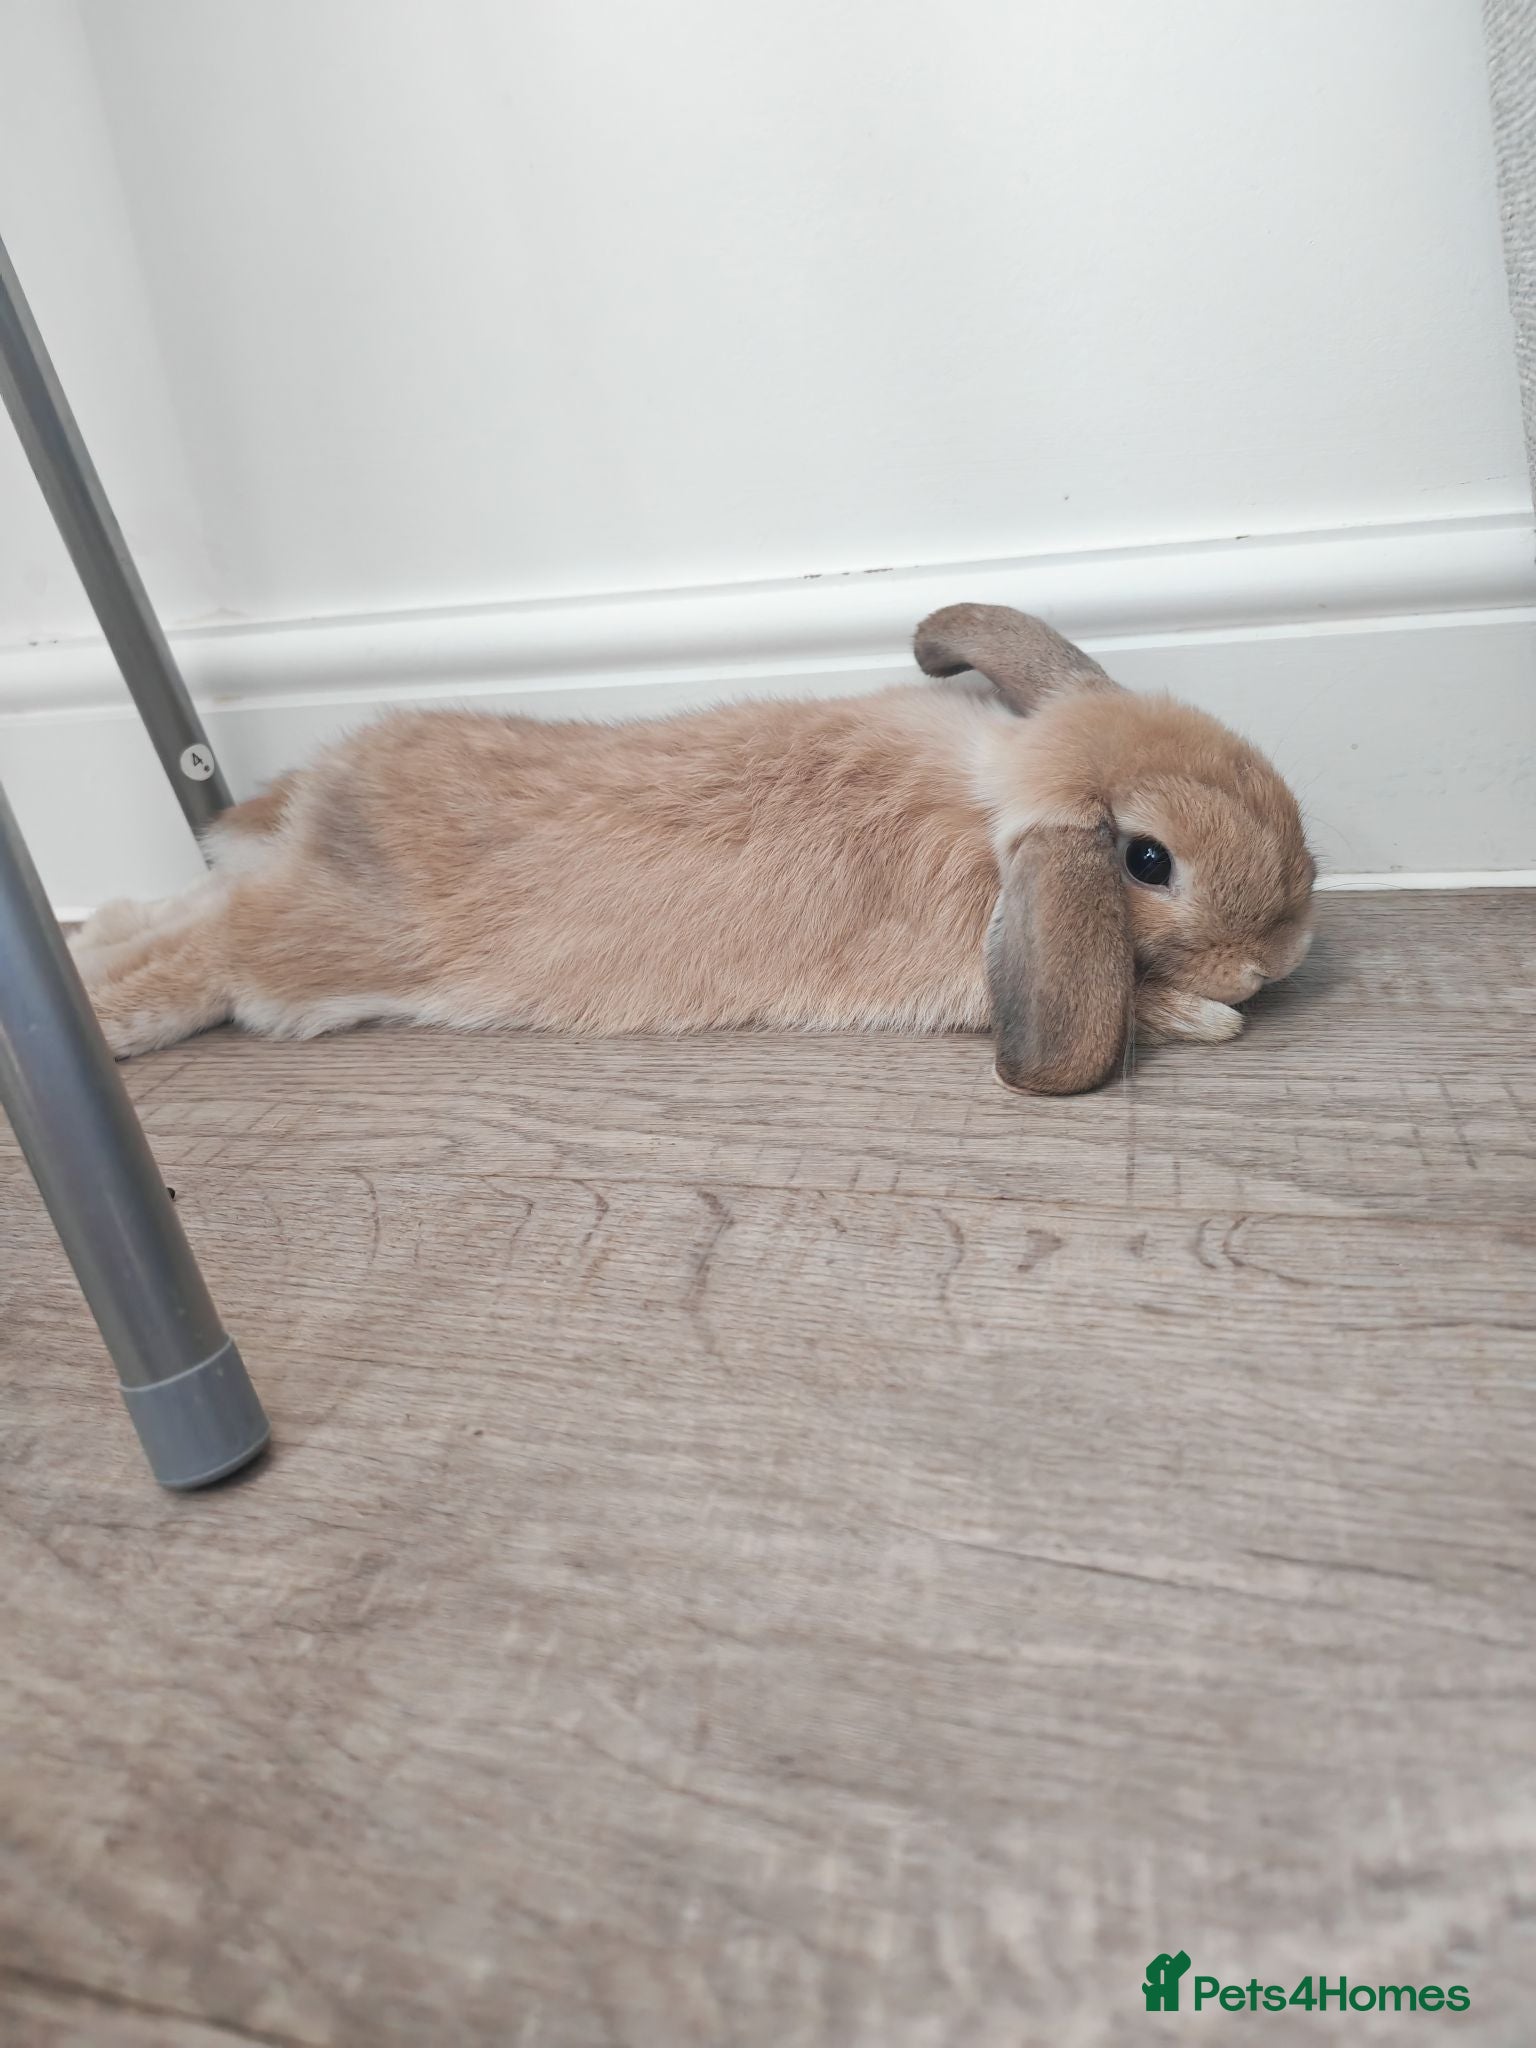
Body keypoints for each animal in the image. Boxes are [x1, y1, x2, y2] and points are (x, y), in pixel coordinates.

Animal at [69, 604, 1315, 1094]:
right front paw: (1211, 1013)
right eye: (1148, 862)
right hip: (311, 948)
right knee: (208, 953)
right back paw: (93, 1017)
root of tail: (326, 791)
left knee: (191, 905)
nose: (1288, 951)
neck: (996, 791)